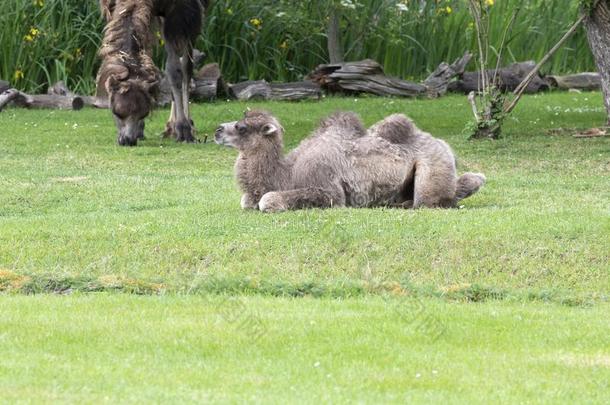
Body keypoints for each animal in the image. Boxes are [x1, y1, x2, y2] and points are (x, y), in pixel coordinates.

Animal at [97, 0, 207, 145]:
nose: (127, 140)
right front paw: (140, 130)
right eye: (116, 112)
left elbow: (175, 70)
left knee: (186, 65)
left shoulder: (182, 11)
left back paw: (184, 125)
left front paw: (184, 129)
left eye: (144, 113)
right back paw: (170, 126)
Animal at [214, 109, 484, 213]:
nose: (217, 130)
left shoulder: (327, 189)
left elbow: (267, 199)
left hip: (432, 168)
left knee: (433, 201)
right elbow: (246, 201)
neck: (286, 173)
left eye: (242, 127)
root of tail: (446, 146)